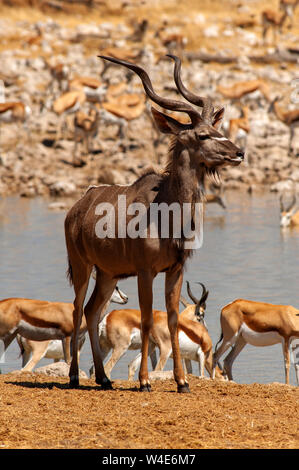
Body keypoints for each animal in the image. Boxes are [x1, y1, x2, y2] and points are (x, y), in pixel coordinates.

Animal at [64, 54, 245, 392]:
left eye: (217, 128)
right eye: (202, 135)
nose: (239, 152)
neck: (167, 214)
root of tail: (77, 208)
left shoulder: (175, 270)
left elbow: (173, 319)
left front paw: (182, 382)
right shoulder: (145, 271)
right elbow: (148, 319)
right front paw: (145, 381)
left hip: (107, 275)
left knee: (92, 311)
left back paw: (104, 378)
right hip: (82, 267)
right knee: (77, 308)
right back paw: (73, 376)